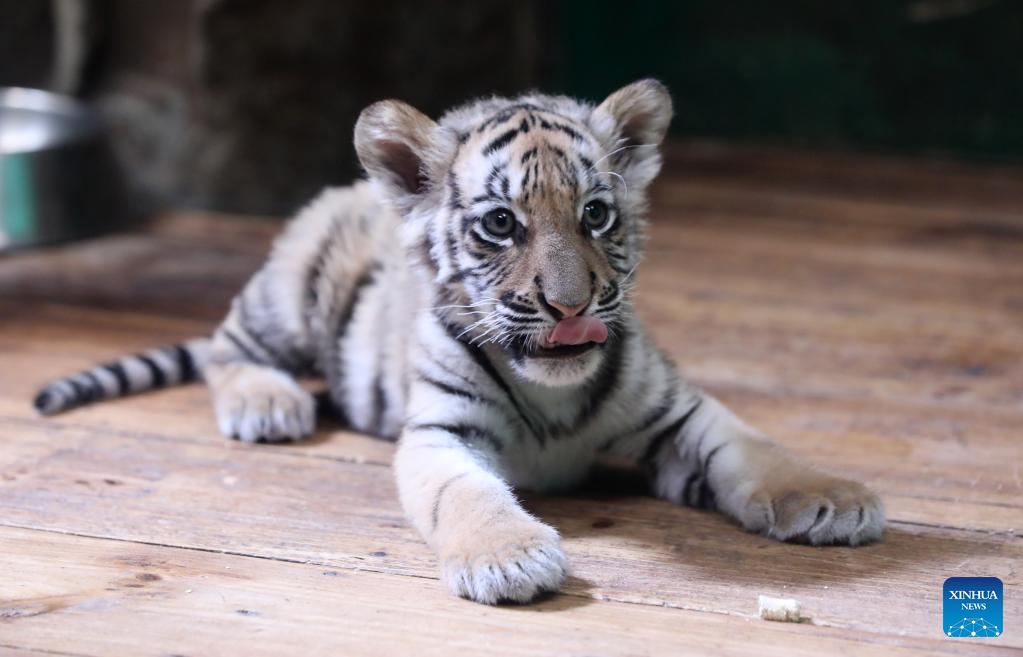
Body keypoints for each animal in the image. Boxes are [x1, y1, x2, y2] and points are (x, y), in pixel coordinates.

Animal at [33, 79, 885, 604]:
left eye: (597, 214)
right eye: (501, 223)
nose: (570, 304)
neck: (555, 389)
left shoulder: (675, 411)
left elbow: (751, 445)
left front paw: (831, 497)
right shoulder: (442, 431)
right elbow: (466, 493)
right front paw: (509, 558)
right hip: (289, 293)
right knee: (225, 344)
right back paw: (267, 404)